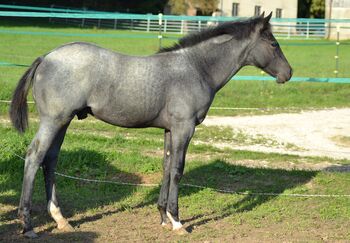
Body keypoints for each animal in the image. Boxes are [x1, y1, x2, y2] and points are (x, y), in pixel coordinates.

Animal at [9, 12, 292, 237]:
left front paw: (164, 217)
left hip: (63, 122)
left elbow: (166, 168)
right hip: (53, 121)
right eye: (273, 43)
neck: (195, 68)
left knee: (50, 160)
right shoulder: (184, 128)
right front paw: (177, 222)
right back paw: (28, 225)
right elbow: (177, 170)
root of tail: (46, 57)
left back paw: (61, 220)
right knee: (34, 157)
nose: (288, 73)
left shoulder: (169, 130)